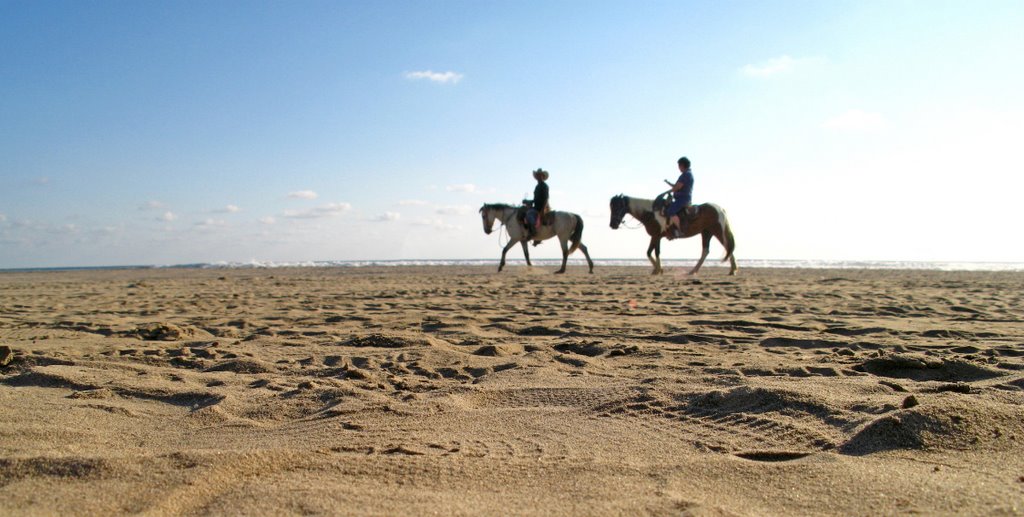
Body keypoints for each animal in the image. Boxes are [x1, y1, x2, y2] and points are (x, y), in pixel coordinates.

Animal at [606, 193, 737, 274]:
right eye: (611, 207)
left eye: (618, 206)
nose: (613, 225)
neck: (651, 213)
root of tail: (720, 209)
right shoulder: (655, 236)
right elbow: (649, 252)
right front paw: (657, 269)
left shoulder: (656, 236)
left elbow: (655, 252)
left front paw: (658, 269)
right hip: (706, 233)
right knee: (706, 251)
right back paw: (694, 271)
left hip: (717, 231)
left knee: (727, 246)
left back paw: (733, 270)